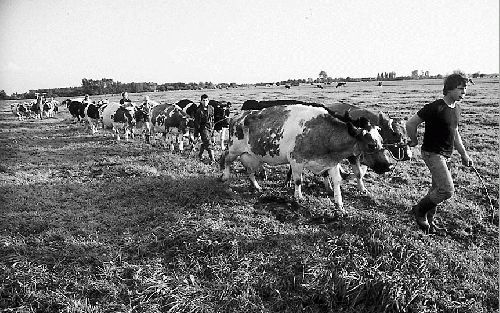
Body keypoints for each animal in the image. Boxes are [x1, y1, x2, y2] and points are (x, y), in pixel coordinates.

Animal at [220, 105, 390, 210]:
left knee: (249, 171)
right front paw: (298, 197)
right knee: (225, 158)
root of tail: (237, 117)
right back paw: (225, 178)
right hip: (234, 149)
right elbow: (298, 180)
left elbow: (337, 182)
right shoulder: (296, 160)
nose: (389, 166)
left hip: (251, 156)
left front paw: (339, 204)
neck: (323, 133)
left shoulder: (331, 163)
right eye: (371, 145)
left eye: (382, 140)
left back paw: (256, 186)